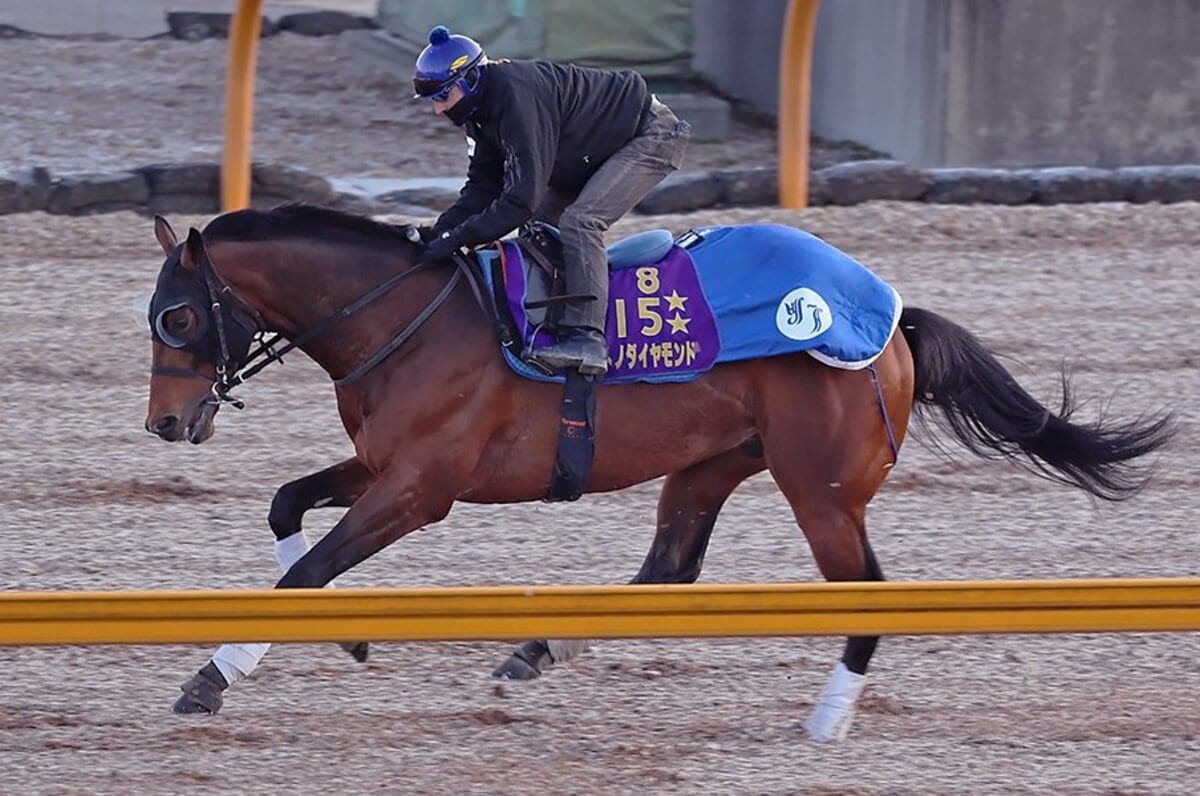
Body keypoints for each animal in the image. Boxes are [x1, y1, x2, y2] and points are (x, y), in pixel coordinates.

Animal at [140, 205, 1171, 739]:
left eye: (180, 317)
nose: (165, 422)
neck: (409, 317)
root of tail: (891, 317)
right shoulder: (382, 464)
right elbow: (288, 512)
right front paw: (349, 636)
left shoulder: (420, 488)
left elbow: (309, 566)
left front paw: (212, 678)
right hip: (713, 463)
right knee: (670, 566)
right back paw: (537, 648)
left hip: (821, 487)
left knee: (866, 588)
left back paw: (826, 720)